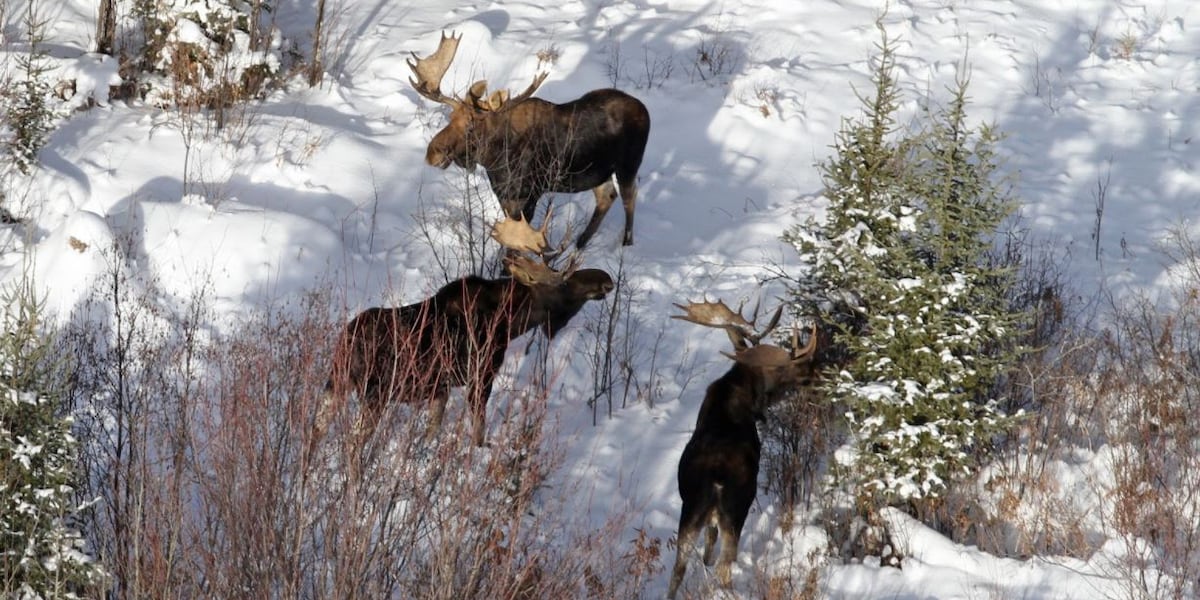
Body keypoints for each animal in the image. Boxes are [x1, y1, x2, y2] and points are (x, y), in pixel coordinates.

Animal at [323, 212, 613, 448]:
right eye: (563, 282)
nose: (606, 279)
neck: (509, 323)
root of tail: (345, 342)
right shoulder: (481, 374)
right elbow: (478, 433)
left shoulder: (440, 389)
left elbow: (431, 432)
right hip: (374, 392)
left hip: (336, 382)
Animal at [408, 31, 650, 249]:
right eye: (450, 118)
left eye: (470, 126)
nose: (432, 154)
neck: (494, 161)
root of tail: (645, 110)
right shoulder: (505, 196)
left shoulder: (530, 195)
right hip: (597, 171)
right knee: (607, 195)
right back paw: (580, 243)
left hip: (628, 165)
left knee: (629, 197)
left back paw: (626, 244)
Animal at [667, 299, 819, 599]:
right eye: (785, 370)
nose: (813, 374)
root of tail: (714, 482)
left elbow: (707, 549)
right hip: (736, 508)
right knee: (725, 567)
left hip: (691, 511)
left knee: (677, 570)